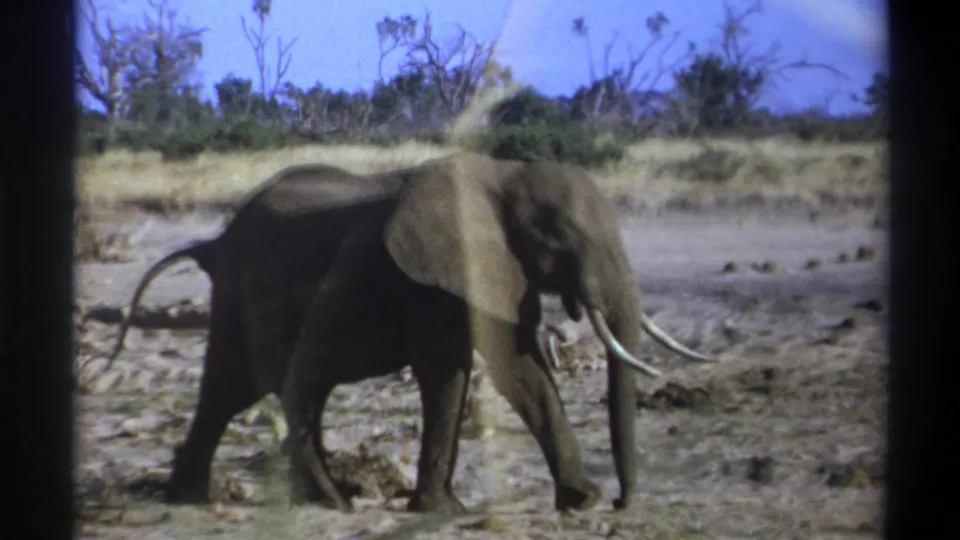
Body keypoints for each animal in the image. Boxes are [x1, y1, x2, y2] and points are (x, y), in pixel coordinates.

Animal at [278, 151, 718, 515]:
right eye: (557, 238)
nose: (619, 503)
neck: (502, 172)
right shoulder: (443, 282)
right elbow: (514, 366)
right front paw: (586, 500)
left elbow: (481, 369)